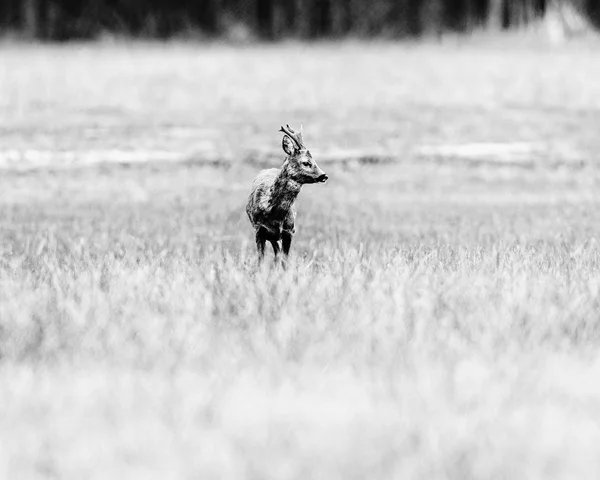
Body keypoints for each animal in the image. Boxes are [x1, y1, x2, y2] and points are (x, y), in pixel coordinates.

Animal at [245, 124, 328, 262]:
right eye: (306, 162)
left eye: (315, 161)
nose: (324, 175)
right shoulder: (259, 230)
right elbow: (261, 260)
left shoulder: (289, 231)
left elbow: (284, 260)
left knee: (277, 254)